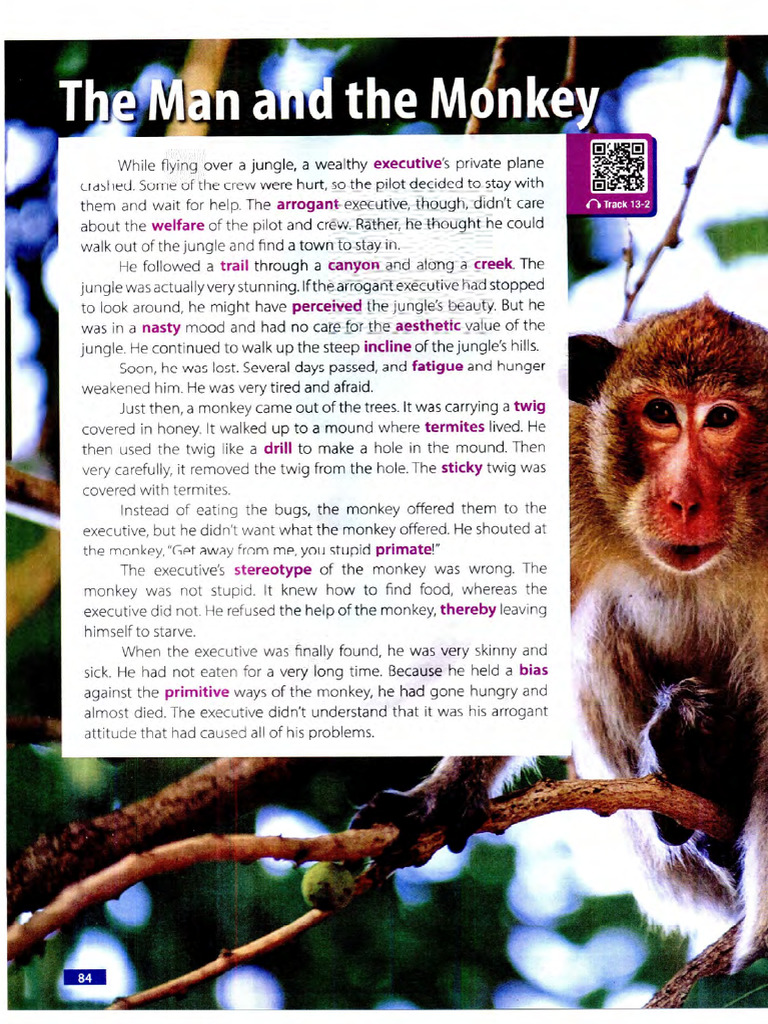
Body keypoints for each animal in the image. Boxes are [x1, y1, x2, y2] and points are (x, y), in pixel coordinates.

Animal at [353, 298, 768, 971]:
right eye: (660, 412)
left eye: (723, 417)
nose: (683, 500)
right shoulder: (573, 472)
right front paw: (446, 792)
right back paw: (695, 775)